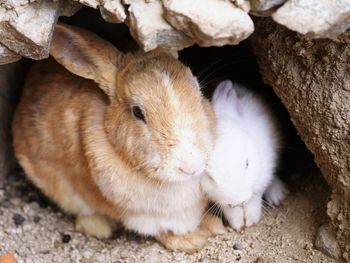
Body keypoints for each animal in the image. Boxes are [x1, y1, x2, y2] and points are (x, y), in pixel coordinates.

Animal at [13, 23, 224, 254]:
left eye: (198, 89)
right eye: (137, 112)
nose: (191, 166)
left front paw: (214, 226)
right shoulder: (140, 216)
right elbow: (163, 232)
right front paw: (193, 241)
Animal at [201, 80, 288, 231]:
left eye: (247, 163)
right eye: (210, 177)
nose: (238, 201)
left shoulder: (262, 175)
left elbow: (254, 199)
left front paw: (251, 220)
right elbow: (229, 210)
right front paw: (238, 224)